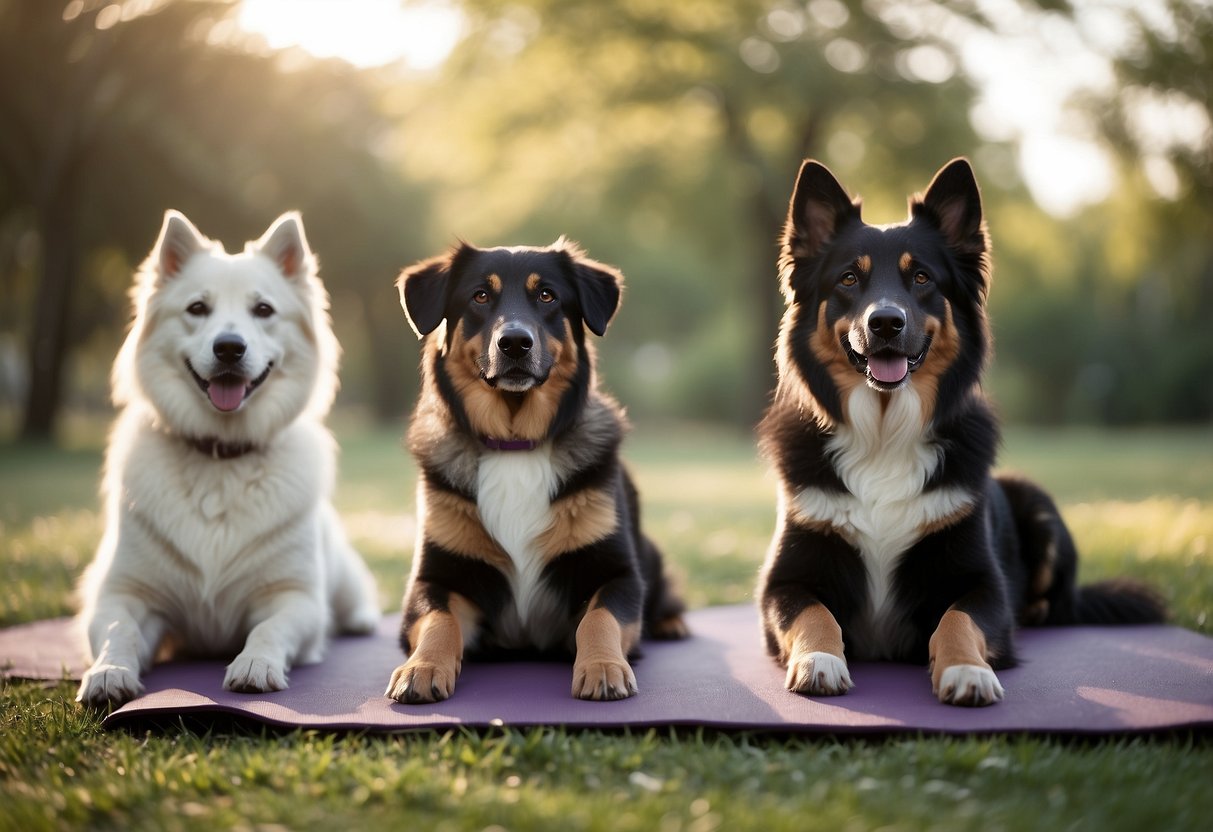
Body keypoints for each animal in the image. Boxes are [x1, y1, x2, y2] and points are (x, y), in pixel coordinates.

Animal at [76, 212, 378, 708]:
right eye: (198, 308)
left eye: (264, 310)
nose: (230, 348)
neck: (221, 458)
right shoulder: (124, 593)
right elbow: (119, 630)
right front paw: (108, 672)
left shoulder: (295, 598)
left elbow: (269, 629)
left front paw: (255, 665)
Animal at [383, 240, 688, 703]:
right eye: (480, 296)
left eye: (547, 296)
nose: (514, 343)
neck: (515, 446)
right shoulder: (433, 579)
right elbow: (439, 620)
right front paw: (422, 666)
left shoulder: (618, 573)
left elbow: (599, 617)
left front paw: (602, 666)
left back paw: (672, 623)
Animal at [756, 160, 1164, 708]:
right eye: (848, 278)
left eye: (922, 277)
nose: (886, 322)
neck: (884, 433)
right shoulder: (783, 581)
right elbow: (813, 612)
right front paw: (819, 660)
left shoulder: (983, 583)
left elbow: (958, 619)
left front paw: (968, 671)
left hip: (1036, 502)